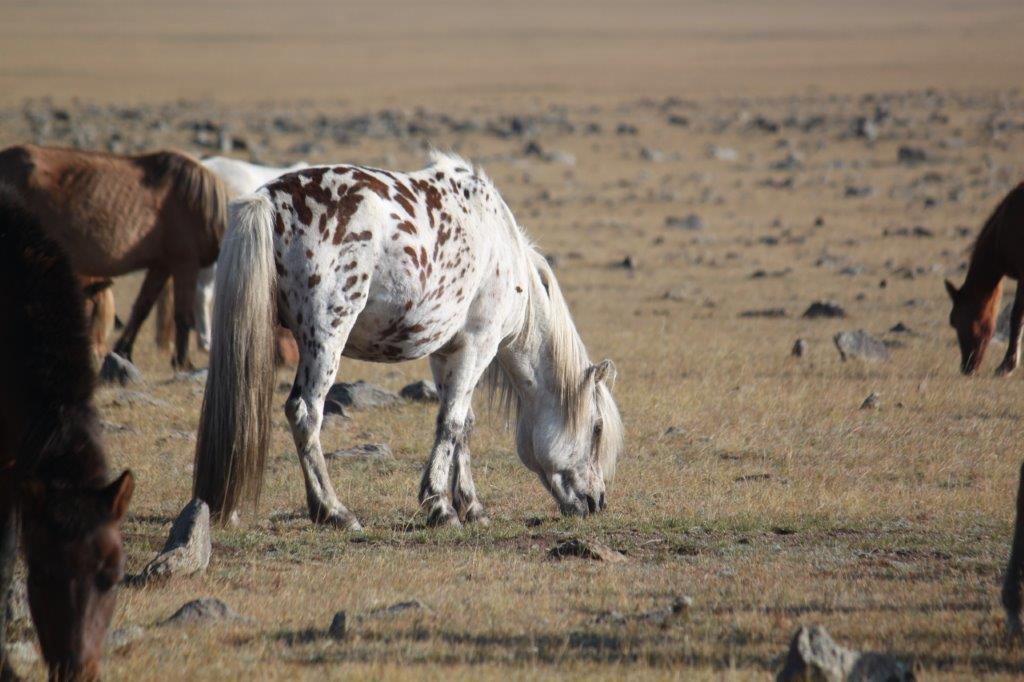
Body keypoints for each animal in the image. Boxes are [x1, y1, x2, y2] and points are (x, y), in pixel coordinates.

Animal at [0, 140, 226, 368]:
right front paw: (183, 362)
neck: (201, 204)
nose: (97, 353)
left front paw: (124, 351)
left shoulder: (161, 265)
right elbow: (182, 314)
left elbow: (141, 308)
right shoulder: (185, 263)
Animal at [192, 152, 622, 524]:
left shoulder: (446, 350)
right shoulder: (479, 345)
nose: (597, 501)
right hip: (326, 337)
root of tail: (268, 200)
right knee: (305, 412)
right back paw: (333, 511)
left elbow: (463, 423)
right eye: (597, 429)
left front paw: (470, 505)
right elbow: (451, 422)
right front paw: (441, 507)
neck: (502, 246)